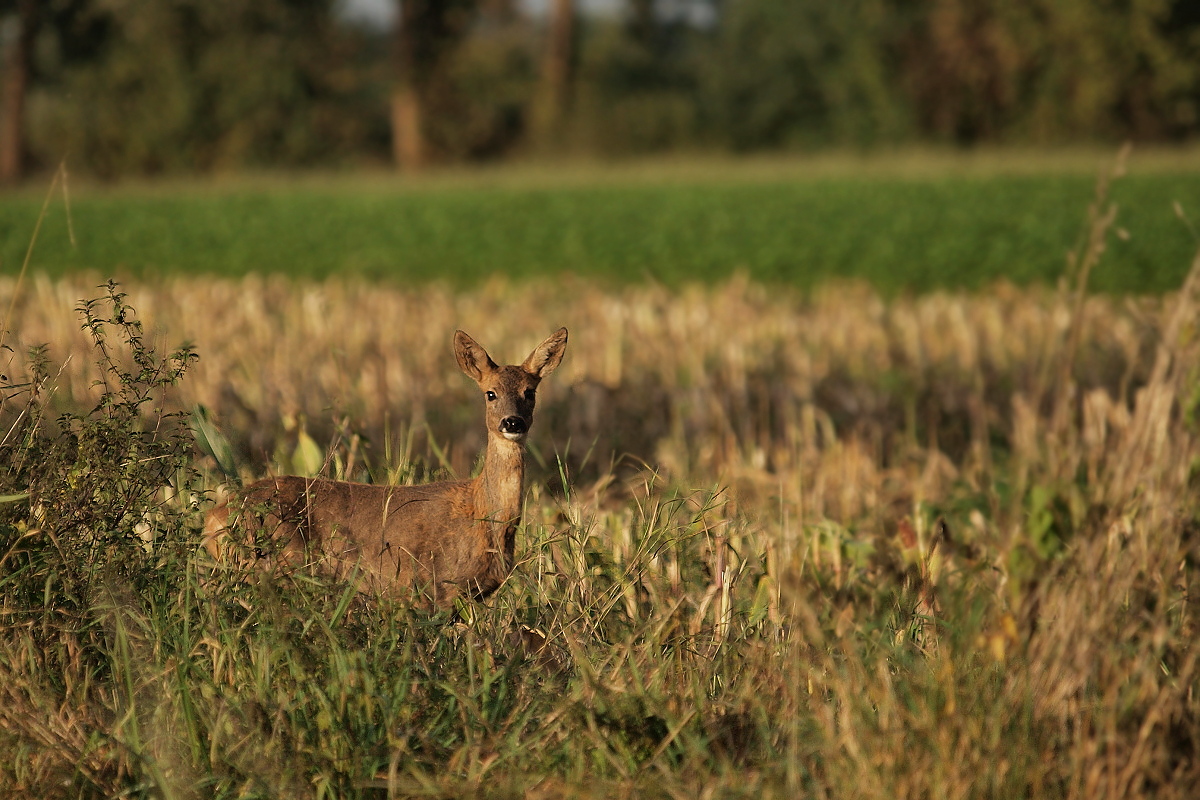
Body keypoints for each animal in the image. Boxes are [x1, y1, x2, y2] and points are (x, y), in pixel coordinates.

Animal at [204, 326, 568, 606]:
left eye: (530, 392)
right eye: (490, 393)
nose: (512, 422)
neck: (483, 515)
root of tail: (214, 517)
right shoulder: (437, 587)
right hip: (274, 567)